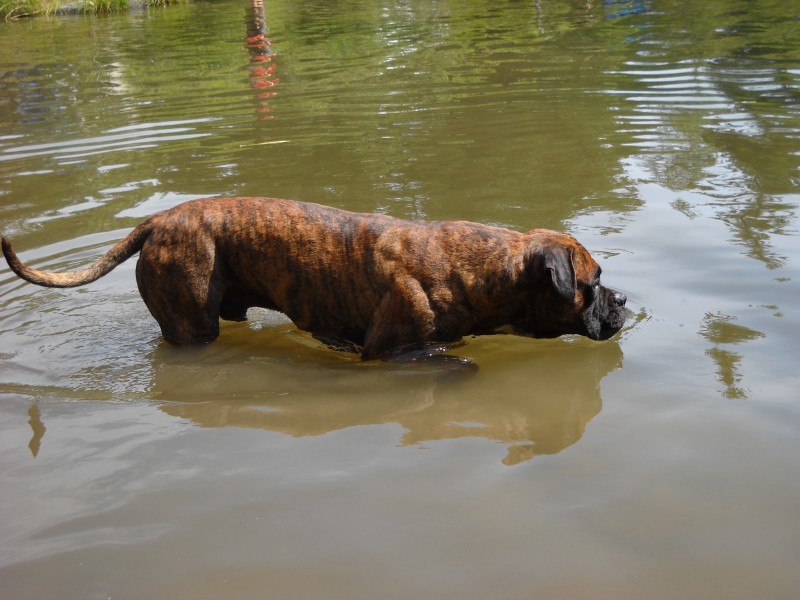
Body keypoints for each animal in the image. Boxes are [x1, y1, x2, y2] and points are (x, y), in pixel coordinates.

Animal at [2, 197, 627, 359]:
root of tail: (157, 220)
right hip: (190, 322)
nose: (623, 298)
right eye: (593, 282)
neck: (479, 269)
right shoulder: (393, 352)